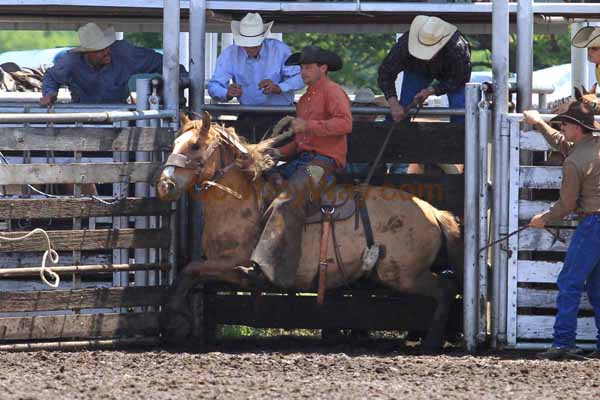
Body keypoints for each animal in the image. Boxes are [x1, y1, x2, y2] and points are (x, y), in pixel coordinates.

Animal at [156, 111, 464, 352]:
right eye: (174, 142)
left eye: (196, 145)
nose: (164, 186)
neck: (241, 199)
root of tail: (434, 212)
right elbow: (191, 275)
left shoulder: (234, 264)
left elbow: (190, 270)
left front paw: (173, 321)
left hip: (401, 274)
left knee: (445, 289)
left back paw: (432, 342)